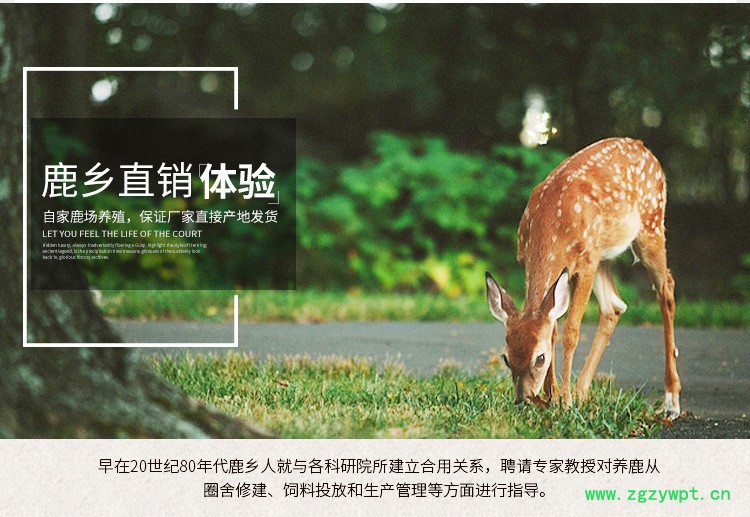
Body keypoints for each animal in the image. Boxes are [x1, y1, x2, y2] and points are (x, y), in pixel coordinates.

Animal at [485, 137, 681, 419]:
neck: (551, 226)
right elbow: (552, 328)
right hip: (604, 254)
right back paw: (581, 391)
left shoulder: (585, 264)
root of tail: (643, 147)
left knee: (666, 289)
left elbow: (570, 332)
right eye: (506, 358)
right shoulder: (532, 262)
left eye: (540, 358)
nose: (523, 400)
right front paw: (553, 397)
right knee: (614, 306)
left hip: (650, 225)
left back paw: (671, 400)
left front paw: (563, 402)